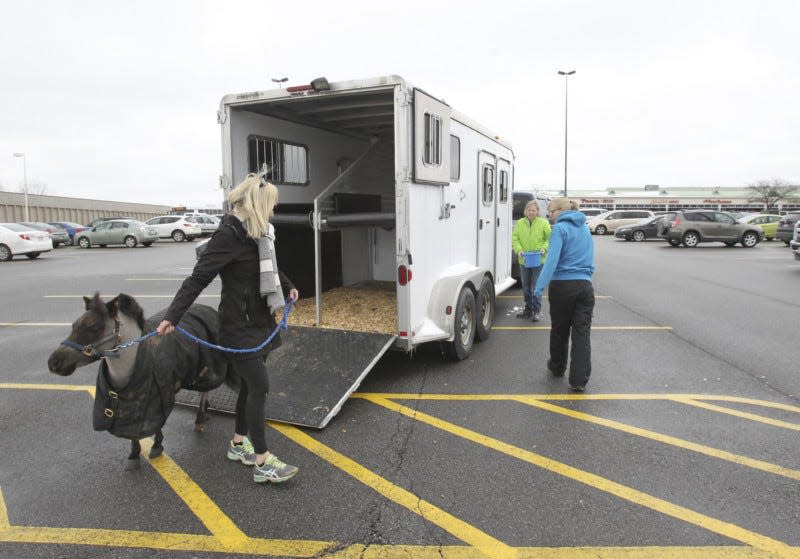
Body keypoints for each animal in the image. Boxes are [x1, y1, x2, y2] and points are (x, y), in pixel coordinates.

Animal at [48, 296, 231, 470]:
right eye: (74, 325)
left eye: (94, 327)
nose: (53, 363)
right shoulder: (131, 405)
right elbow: (132, 429)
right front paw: (134, 454)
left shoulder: (156, 399)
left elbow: (156, 423)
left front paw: (157, 446)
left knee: (205, 390)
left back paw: (200, 419)